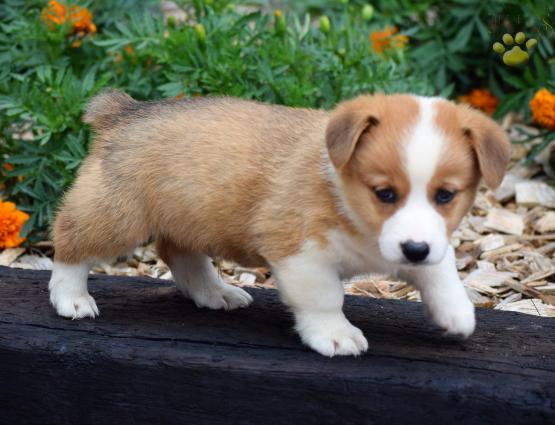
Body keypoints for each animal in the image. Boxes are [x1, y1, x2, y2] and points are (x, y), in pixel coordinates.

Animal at [50, 91, 510, 356]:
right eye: (384, 194)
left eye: (446, 195)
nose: (414, 251)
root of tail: (125, 111)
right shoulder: (300, 253)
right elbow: (325, 299)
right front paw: (335, 336)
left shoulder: (428, 242)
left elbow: (441, 272)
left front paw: (458, 315)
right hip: (117, 215)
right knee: (71, 239)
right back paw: (72, 298)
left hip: (190, 217)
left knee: (180, 254)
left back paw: (216, 293)